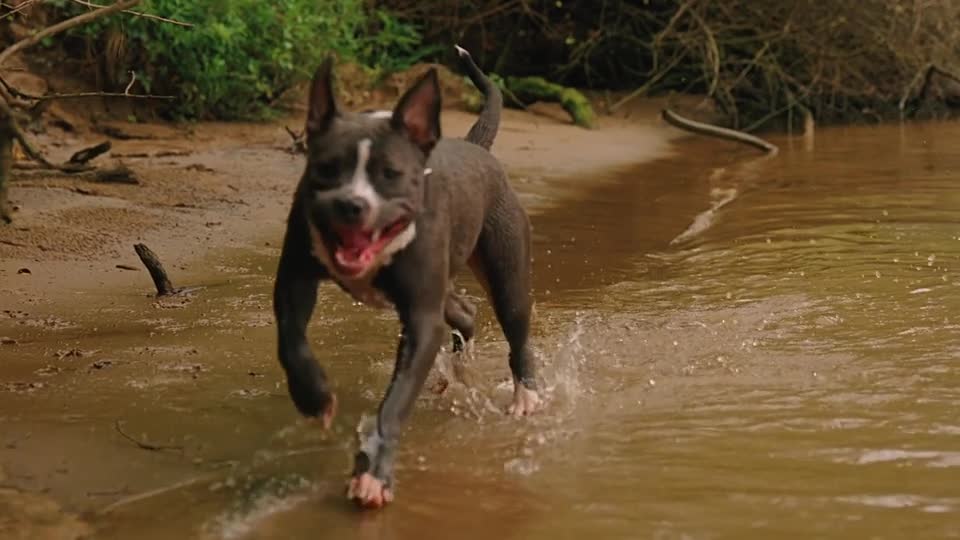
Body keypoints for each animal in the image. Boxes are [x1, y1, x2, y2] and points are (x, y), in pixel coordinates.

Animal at [270, 45, 540, 506]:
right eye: (326, 168)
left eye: (390, 174)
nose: (351, 204)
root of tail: (476, 147)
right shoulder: (293, 280)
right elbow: (292, 341)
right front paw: (314, 396)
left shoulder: (421, 320)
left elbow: (393, 404)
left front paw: (372, 476)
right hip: (445, 286)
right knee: (464, 312)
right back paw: (458, 370)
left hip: (506, 276)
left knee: (517, 331)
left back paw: (526, 396)